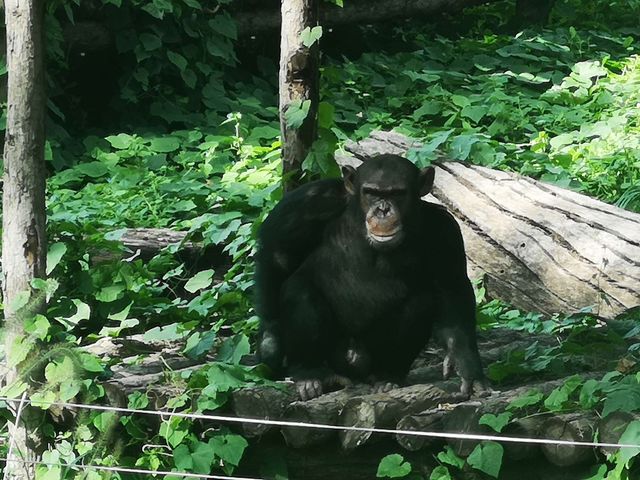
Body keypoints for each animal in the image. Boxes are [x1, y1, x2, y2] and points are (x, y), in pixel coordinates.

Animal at [255, 153, 484, 398]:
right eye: (371, 192)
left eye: (397, 193)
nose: (383, 210)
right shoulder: (309, 201)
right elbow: (277, 254)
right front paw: (270, 341)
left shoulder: (445, 230)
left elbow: (452, 287)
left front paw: (464, 362)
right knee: (299, 289)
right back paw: (309, 374)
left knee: (421, 302)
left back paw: (387, 377)